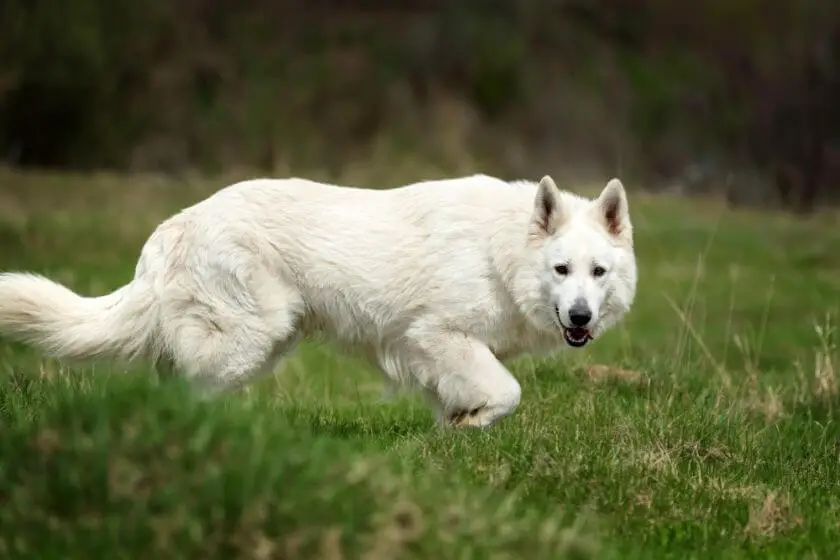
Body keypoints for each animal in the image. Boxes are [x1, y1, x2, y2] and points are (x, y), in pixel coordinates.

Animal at [0, 175, 636, 428]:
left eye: (598, 273)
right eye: (561, 270)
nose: (580, 318)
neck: (500, 253)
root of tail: (172, 228)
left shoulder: (435, 354)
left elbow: (462, 400)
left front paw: (454, 431)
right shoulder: (435, 335)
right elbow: (508, 392)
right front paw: (472, 422)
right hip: (249, 341)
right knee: (183, 389)